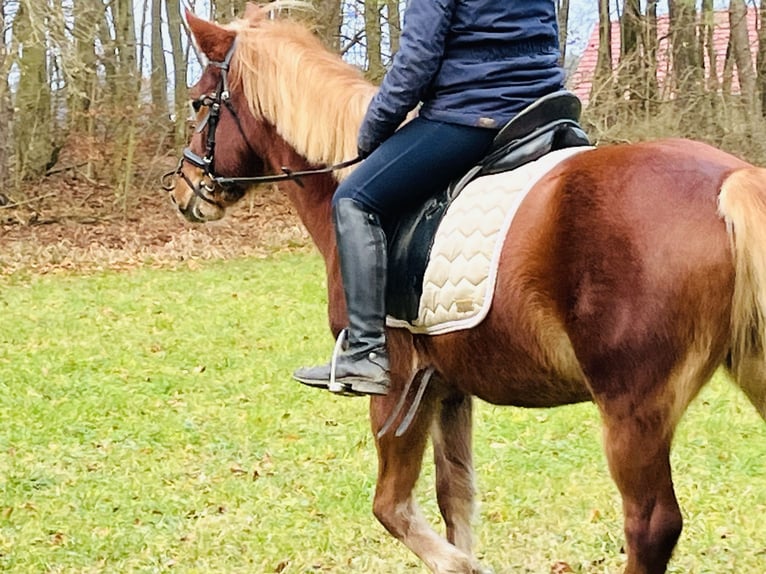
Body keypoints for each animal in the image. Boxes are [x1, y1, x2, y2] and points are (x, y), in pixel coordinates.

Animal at [165, 5, 766, 574]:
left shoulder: (397, 382)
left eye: (197, 103)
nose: (184, 191)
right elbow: (455, 497)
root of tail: (730, 180)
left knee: (650, 524)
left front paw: (466, 565)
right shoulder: (445, 386)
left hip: (632, 409)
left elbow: (393, 508)